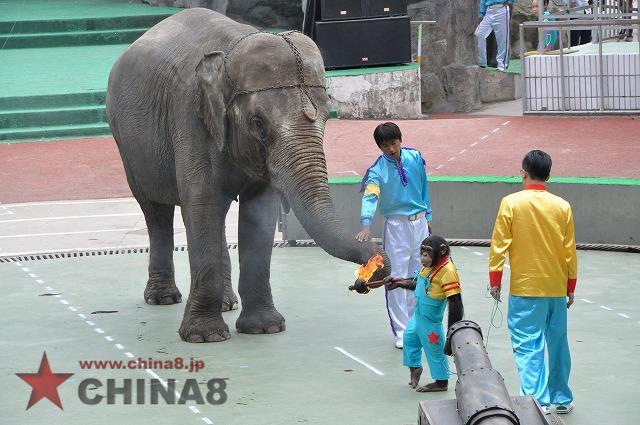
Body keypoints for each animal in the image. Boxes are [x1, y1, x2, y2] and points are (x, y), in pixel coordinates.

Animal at [106, 8, 390, 342]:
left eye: (325, 116)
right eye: (257, 123)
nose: (372, 270)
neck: (231, 50)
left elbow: (260, 212)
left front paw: (265, 328)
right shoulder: (188, 116)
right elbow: (201, 205)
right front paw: (205, 337)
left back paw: (227, 303)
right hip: (126, 143)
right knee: (156, 211)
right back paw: (163, 298)